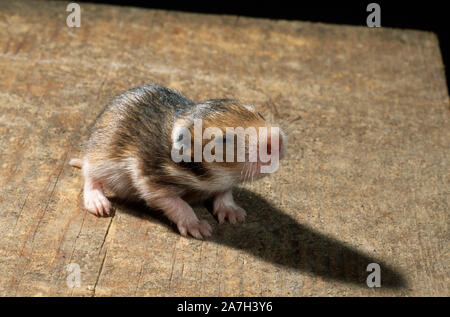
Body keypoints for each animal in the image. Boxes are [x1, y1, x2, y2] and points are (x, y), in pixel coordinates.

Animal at [70, 84, 286, 237]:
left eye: (260, 113)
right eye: (224, 140)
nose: (277, 140)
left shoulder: (224, 183)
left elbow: (225, 193)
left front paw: (233, 214)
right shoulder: (152, 184)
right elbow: (179, 204)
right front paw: (198, 227)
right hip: (100, 159)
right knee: (90, 178)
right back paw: (98, 203)